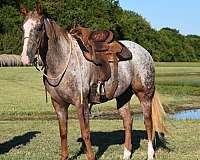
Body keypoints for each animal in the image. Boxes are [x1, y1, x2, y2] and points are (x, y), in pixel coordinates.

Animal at [18, 1, 167, 160]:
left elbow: (85, 133)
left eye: (39, 27)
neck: (62, 62)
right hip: (123, 96)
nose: (25, 58)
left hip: (144, 94)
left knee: (148, 122)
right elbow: (63, 133)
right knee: (128, 121)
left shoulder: (80, 103)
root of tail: (145, 52)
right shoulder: (59, 105)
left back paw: (150, 154)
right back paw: (126, 154)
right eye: (23, 28)